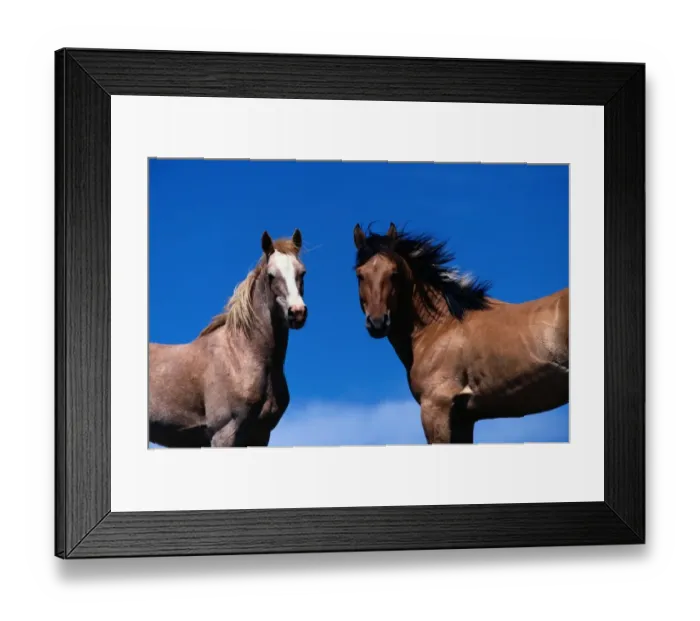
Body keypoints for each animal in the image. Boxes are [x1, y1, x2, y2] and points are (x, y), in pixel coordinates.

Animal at [148, 229, 308, 448]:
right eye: (271, 275)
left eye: (302, 273)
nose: (297, 312)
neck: (241, 354)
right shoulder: (223, 433)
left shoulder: (260, 436)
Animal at [353, 222, 569, 444]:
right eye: (360, 274)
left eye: (394, 273)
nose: (377, 322)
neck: (440, 326)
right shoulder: (463, 418)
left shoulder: (436, 407)